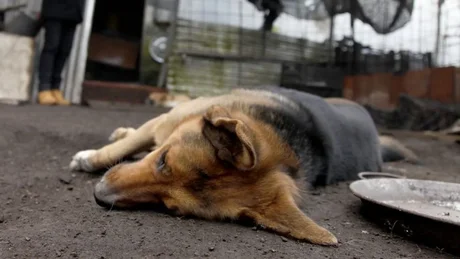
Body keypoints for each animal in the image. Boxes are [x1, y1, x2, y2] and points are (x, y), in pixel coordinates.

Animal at [69, 87, 416, 246]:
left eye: (169, 207)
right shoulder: (165, 122)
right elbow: (123, 148)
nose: (99, 196)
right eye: (163, 160)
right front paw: (92, 157)